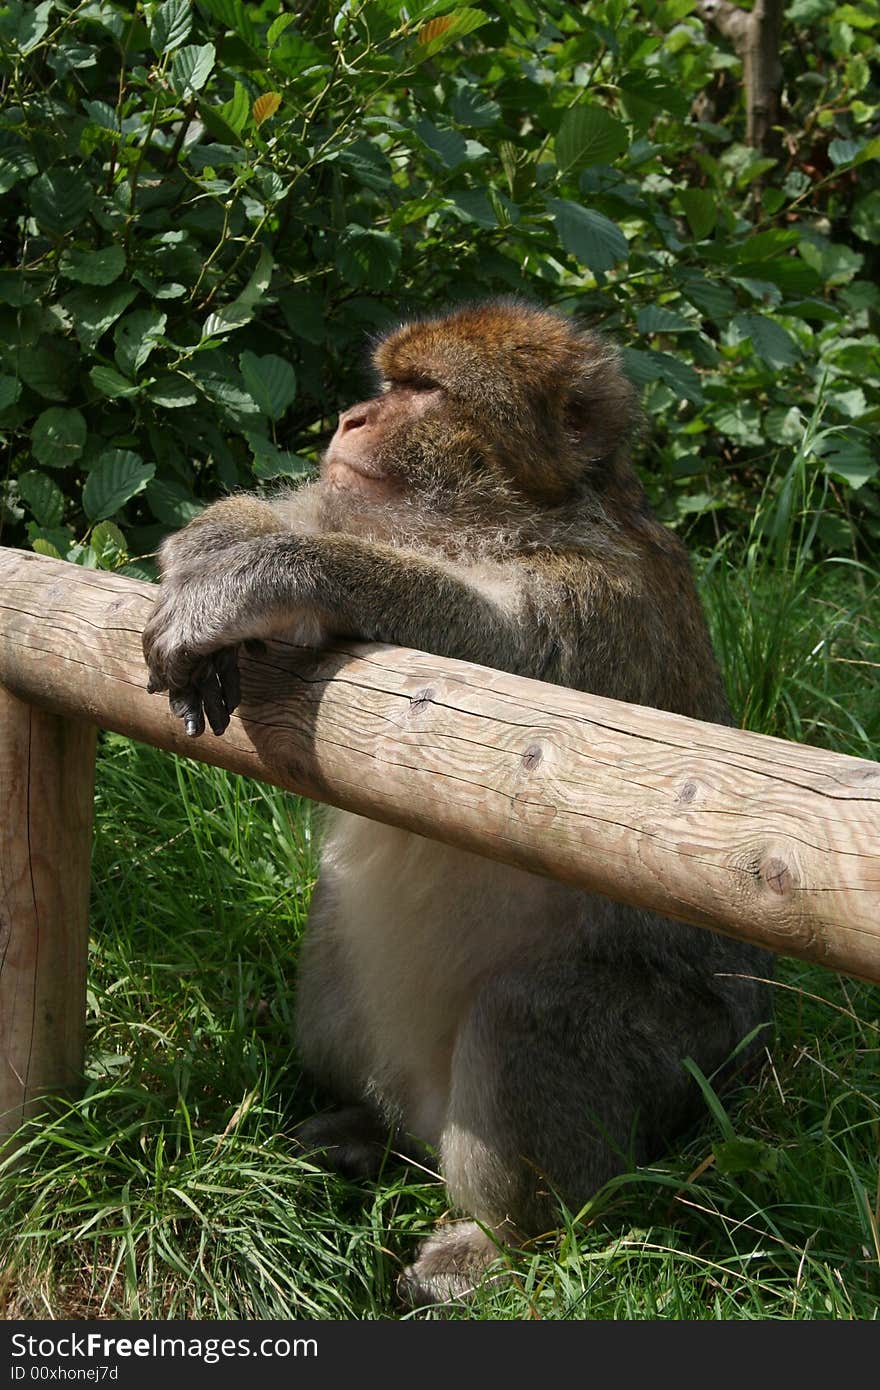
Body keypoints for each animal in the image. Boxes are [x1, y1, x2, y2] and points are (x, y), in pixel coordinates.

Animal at [142, 301, 767, 1301]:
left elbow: (507, 686)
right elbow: (297, 508)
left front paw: (271, 569)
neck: (505, 516)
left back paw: (498, 1246)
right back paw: (364, 1129)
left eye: (424, 391)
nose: (352, 417)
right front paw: (216, 541)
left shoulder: (603, 598)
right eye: (389, 382)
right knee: (333, 944)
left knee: (528, 1014)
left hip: (691, 1063)